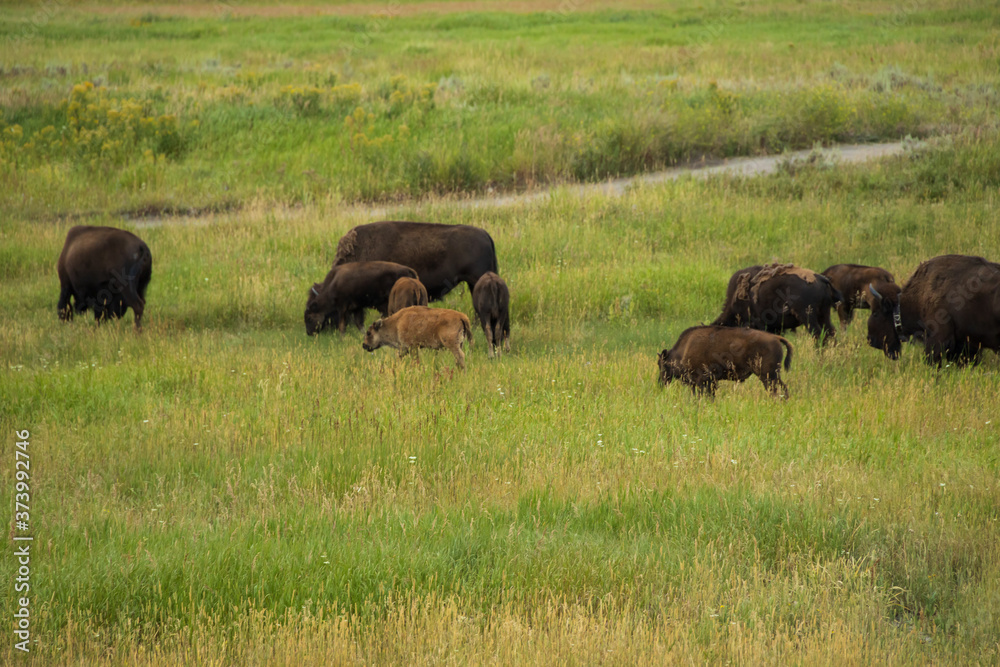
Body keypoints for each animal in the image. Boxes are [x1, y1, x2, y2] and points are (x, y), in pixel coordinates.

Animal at [660, 326, 792, 400]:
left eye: (662, 364)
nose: (661, 382)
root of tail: (775, 337)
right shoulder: (710, 381)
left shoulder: (701, 380)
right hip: (774, 375)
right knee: (783, 388)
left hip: (767, 376)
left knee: (774, 390)